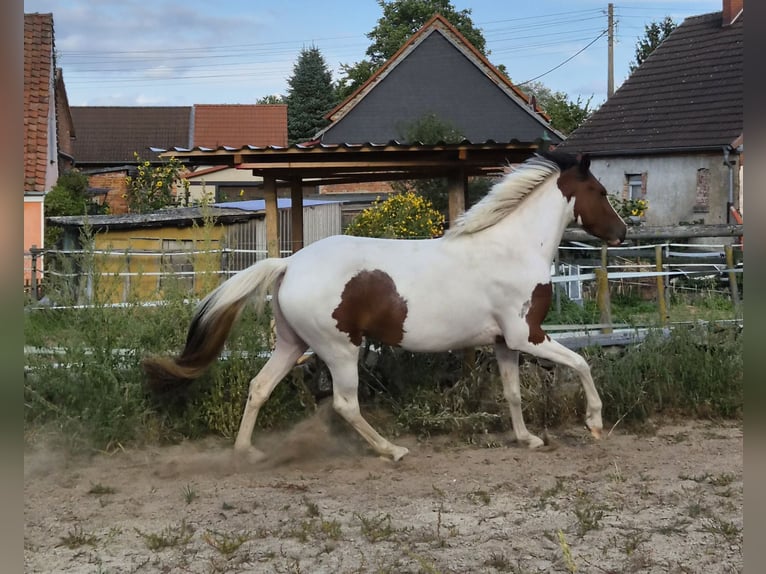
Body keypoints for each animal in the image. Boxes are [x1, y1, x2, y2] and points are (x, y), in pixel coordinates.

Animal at [143, 150, 627, 462]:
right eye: (600, 191)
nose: (621, 232)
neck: (513, 248)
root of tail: (290, 264)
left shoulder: (505, 342)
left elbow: (512, 393)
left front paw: (528, 440)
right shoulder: (528, 335)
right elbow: (581, 363)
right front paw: (595, 423)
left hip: (292, 343)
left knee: (259, 387)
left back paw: (248, 452)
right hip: (340, 349)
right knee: (345, 404)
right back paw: (391, 449)